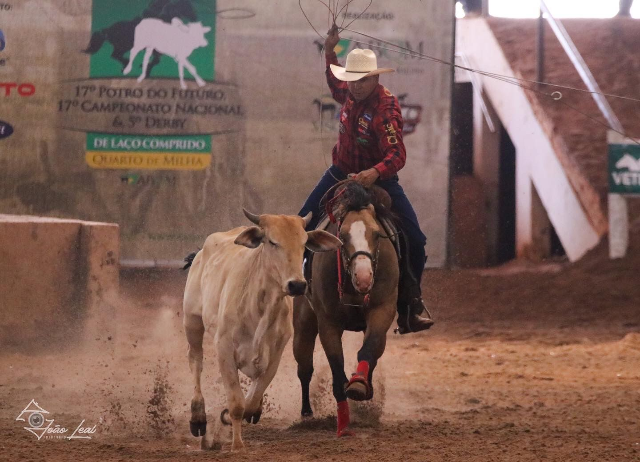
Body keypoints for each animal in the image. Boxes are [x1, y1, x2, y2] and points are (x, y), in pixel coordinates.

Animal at [292, 180, 398, 436]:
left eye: (377, 234)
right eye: (342, 234)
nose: (364, 277)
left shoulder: (382, 311)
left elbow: (369, 349)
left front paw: (359, 384)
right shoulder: (328, 324)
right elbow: (336, 367)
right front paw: (342, 424)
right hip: (303, 325)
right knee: (304, 369)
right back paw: (307, 413)